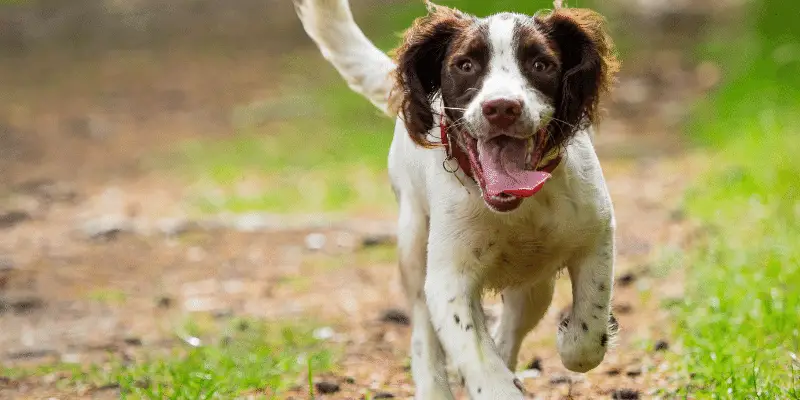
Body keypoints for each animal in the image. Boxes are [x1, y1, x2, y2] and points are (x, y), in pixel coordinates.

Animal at [294, 1, 620, 398]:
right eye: (465, 65)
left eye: (541, 64)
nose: (502, 108)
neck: (516, 207)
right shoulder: (449, 277)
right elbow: (476, 357)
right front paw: (497, 385)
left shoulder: (596, 233)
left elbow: (588, 332)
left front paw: (568, 339)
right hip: (413, 246)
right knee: (424, 333)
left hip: (534, 286)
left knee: (510, 330)